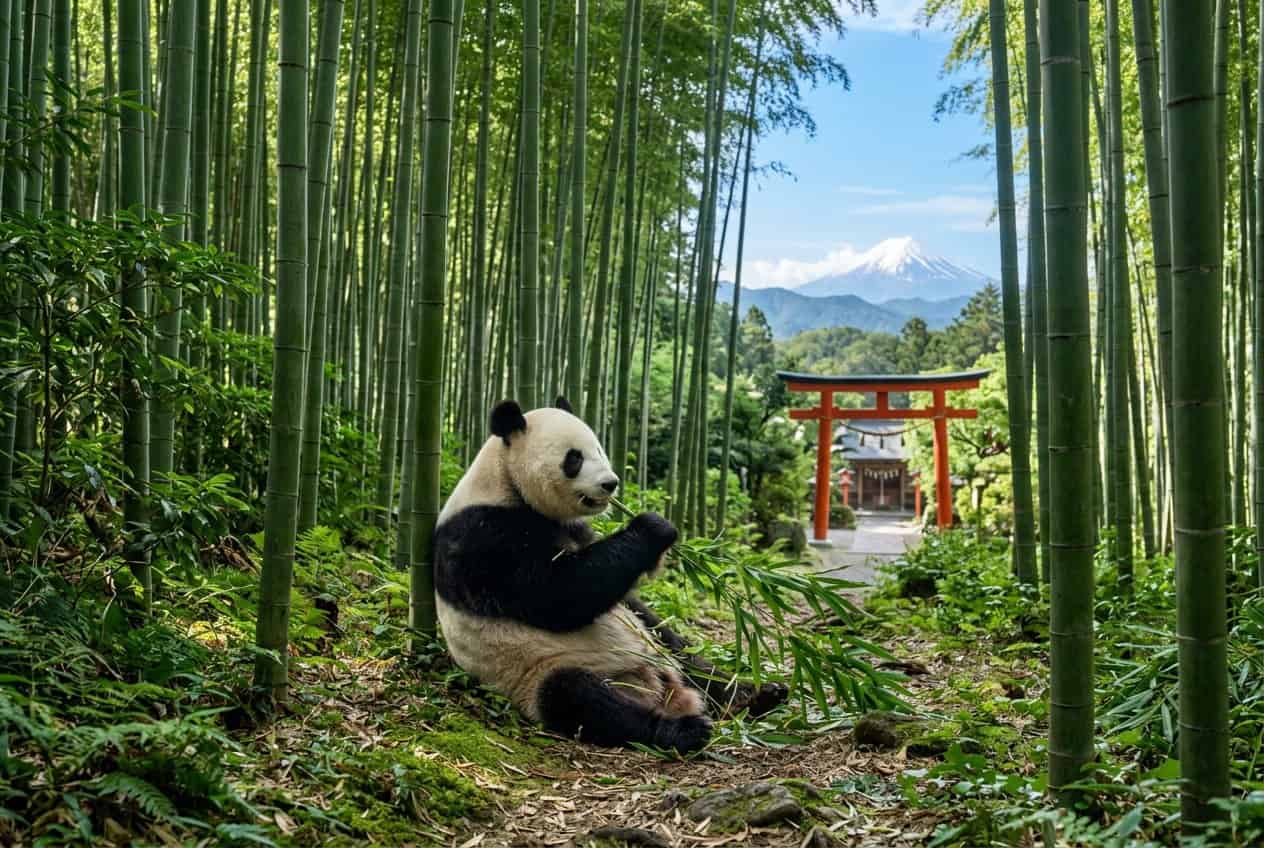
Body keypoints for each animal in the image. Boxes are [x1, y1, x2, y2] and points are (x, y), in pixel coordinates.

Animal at [433, 397, 787, 754]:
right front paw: (654, 526)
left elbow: (619, 590)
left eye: (600, 449)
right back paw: (683, 729)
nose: (610, 484)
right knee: (579, 698)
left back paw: (754, 694)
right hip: (538, 671)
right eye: (574, 458)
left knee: (678, 648)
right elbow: (557, 595)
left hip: (656, 648)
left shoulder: (572, 527)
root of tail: (662, 688)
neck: (504, 479)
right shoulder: (482, 537)